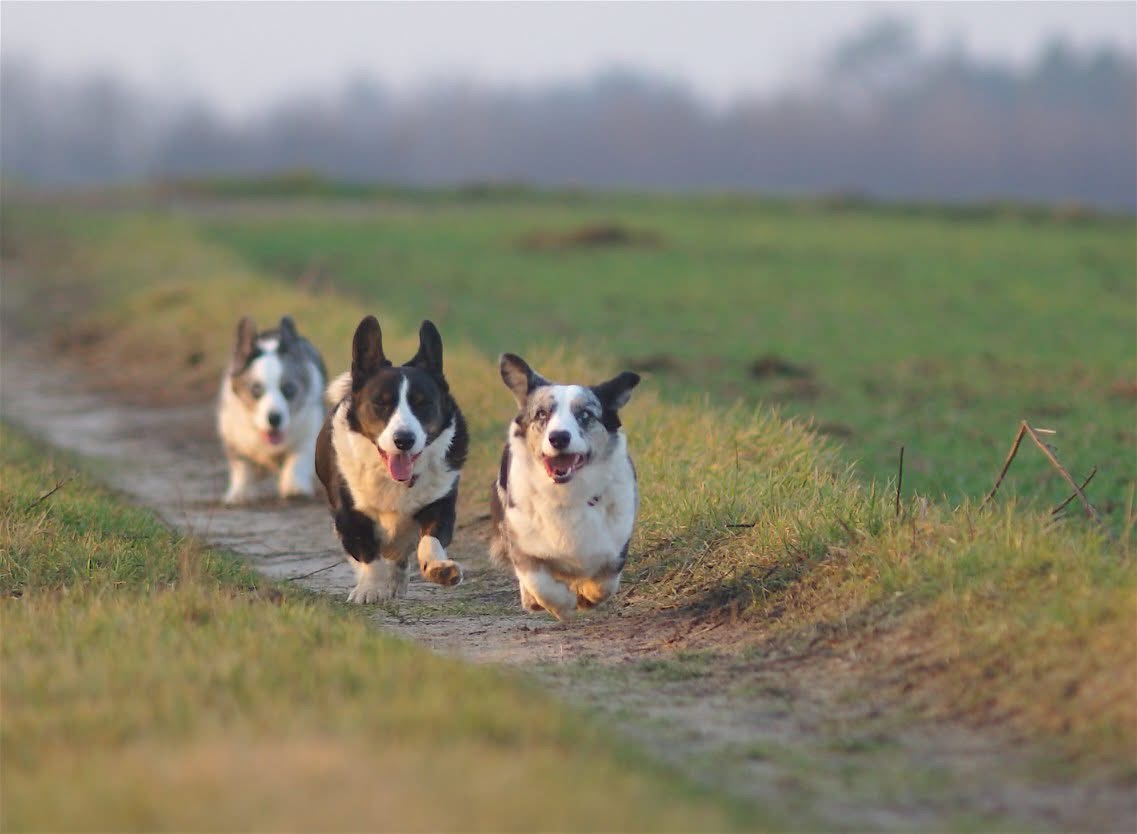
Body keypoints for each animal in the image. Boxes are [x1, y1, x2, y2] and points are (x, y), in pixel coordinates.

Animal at [217, 315, 327, 506]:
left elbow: (297, 459)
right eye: (255, 390)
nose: (274, 418)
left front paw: (293, 487)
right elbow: (242, 466)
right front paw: (240, 493)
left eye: (288, 389)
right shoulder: (233, 438)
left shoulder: (308, 435)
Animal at [313, 315, 468, 604]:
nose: (404, 439)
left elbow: (430, 539)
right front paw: (370, 590)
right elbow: (367, 554)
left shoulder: (440, 504)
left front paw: (440, 569)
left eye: (422, 403)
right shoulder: (350, 515)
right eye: (381, 403)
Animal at [488, 352, 641, 622]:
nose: (559, 437)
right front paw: (561, 605)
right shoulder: (522, 541)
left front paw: (587, 596)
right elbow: (540, 583)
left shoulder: (616, 543)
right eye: (541, 414)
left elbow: (606, 581)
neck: (567, 495)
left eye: (586, 415)